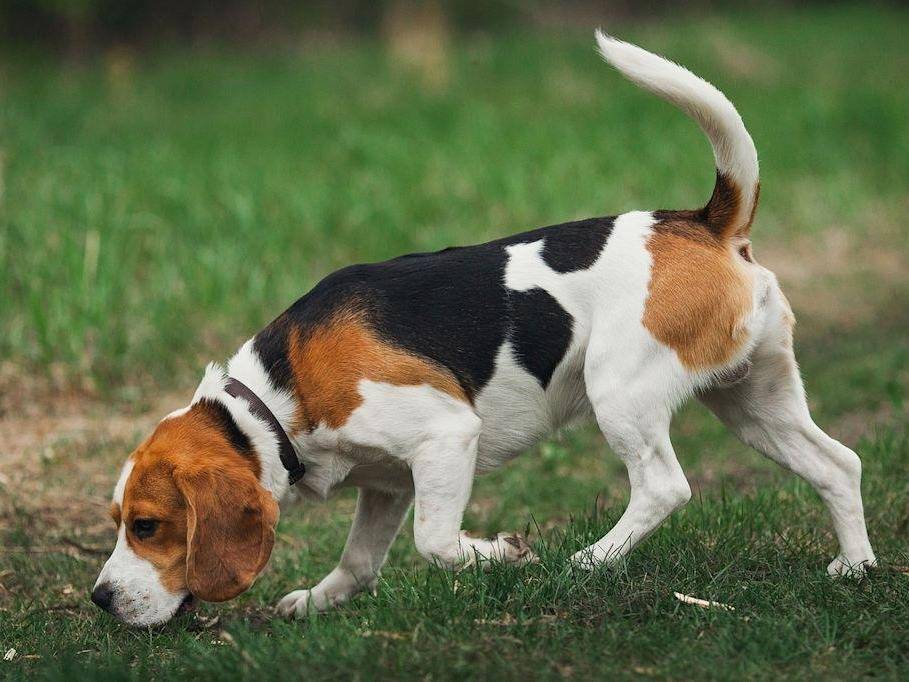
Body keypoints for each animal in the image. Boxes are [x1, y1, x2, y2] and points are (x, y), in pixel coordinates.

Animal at [92, 33, 877, 626]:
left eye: (149, 525)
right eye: (119, 520)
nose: (100, 598)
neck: (276, 398)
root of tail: (702, 222)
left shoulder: (445, 437)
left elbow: (435, 542)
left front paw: (502, 555)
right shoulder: (386, 483)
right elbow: (360, 560)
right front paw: (317, 599)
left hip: (620, 392)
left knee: (663, 487)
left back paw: (589, 561)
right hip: (753, 400)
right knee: (838, 464)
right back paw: (855, 568)